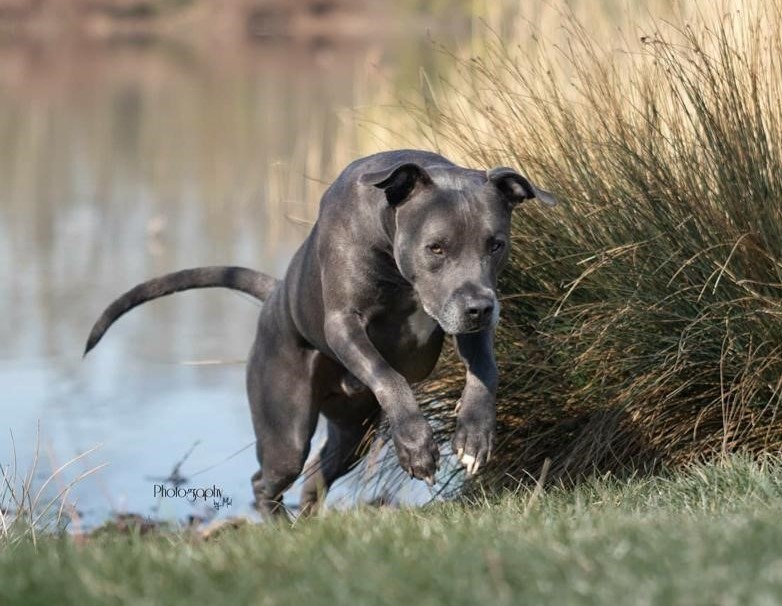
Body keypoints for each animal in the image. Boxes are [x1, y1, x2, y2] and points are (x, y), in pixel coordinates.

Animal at [86, 150, 556, 520]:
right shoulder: (344, 325)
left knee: (314, 478)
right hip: (286, 432)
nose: (479, 308)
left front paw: (474, 434)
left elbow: (485, 370)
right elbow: (389, 376)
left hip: (352, 433)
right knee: (266, 481)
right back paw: (281, 527)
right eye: (436, 247)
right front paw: (416, 443)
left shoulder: (470, 320)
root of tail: (275, 294)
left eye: (495, 244)